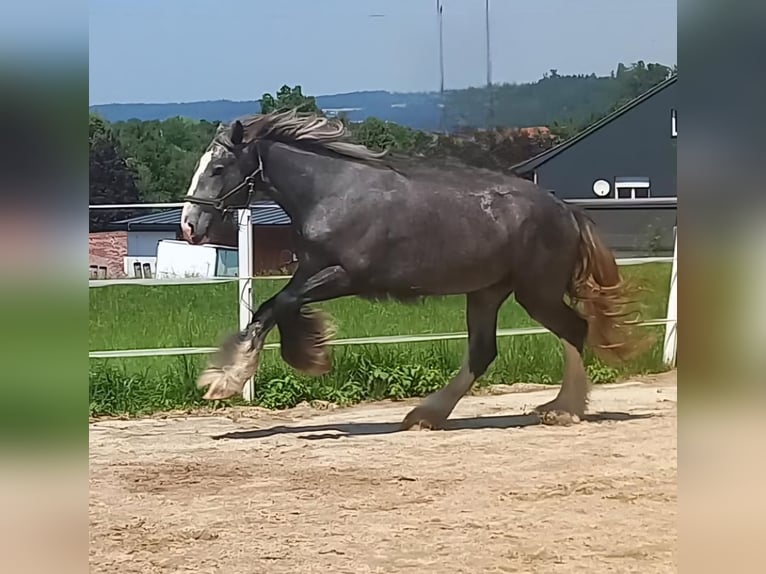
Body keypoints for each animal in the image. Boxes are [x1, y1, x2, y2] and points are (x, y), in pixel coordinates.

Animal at [182, 109, 648, 432]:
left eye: (219, 168)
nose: (189, 225)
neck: (333, 194)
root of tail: (568, 211)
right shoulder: (311, 269)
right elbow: (276, 306)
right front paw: (302, 354)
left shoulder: (346, 276)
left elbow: (277, 307)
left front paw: (229, 380)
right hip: (487, 292)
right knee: (484, 352)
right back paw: (426, 414)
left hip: (536, 292)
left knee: (574, 329)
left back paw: (563, 410)